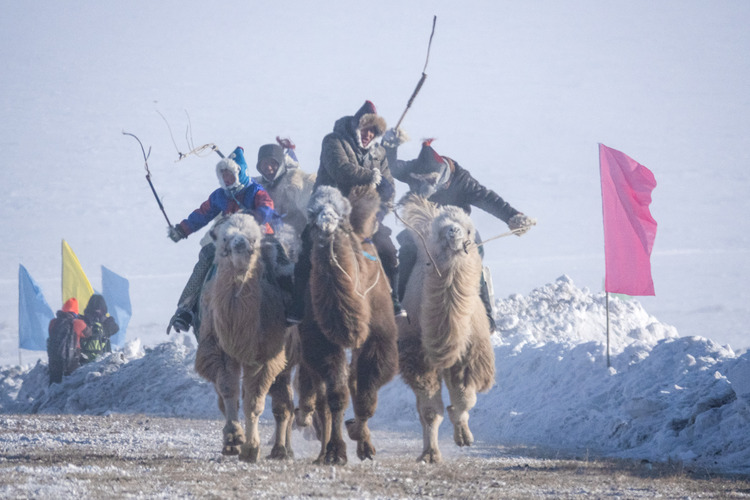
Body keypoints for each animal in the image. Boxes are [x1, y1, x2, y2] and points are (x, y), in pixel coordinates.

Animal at [194, 213, 296, 462]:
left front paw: (251, 448)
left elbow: (254, 399)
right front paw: (233, 440)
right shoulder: (217, 349)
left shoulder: (264, 355)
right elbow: (228, 390)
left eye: (255, 238)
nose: (241, 244)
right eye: (224, 237)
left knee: (284, 405)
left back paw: (282, 449)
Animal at [294, 186, 400, 466]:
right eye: (312, 215)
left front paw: (360, 439)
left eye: (342, 217)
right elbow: (336, 396)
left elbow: (365, 391)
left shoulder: (379, 337)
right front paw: (335, 452)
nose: (326, 223)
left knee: (355, 380)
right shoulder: (321, 342)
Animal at [396, 193, 496, 462]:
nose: (454, 231)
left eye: (469, 230)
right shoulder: (418, 358)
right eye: (440, 230)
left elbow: (465, 399)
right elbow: (431, 411)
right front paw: (430, 454)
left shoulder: (469, 356)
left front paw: (464, 436)